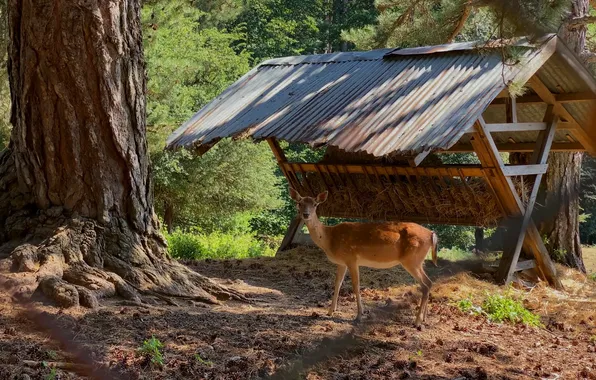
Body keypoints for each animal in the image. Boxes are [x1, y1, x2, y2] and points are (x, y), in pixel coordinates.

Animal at [290, 187, 438, 326]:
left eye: (315, 204)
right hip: (418, 261)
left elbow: (356, 285)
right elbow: (338, 283)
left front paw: (359, 315)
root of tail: (431, 234)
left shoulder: (351, 258)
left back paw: (417, 321)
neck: (329, 239)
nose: (306, 214)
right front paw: (330, 311)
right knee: (429, 282)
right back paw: (424, 318)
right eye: (299, 203)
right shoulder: (341, 262)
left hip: (411, 260)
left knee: (425, 284)